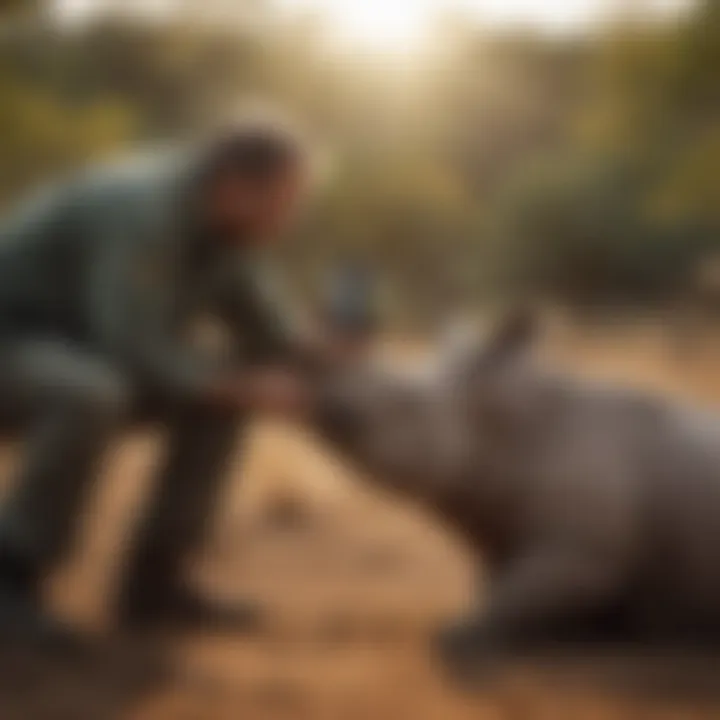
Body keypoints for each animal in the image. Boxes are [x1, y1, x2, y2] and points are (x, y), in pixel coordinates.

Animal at [314, 312, 720, 672]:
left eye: (406, 406)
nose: (325, 409)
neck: (501, 429)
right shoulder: (498, 527)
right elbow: (503, 587)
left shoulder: (585, 555)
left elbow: (513, 595)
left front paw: (461, 643)